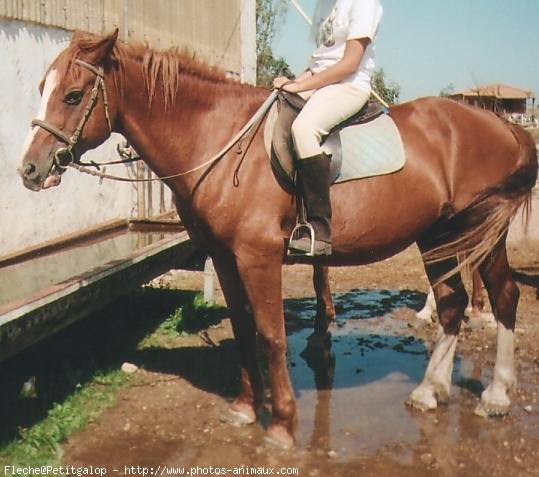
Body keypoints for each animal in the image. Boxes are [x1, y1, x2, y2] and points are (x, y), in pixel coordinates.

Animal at [17, 31, 539, 448]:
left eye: (73, 95)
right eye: (42, 89)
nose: (29, 170)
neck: (220, 138)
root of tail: (504, 126)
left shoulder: (258, 258)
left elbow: (271, 336)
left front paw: (283, 425)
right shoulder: (225, 258)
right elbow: (243, 329)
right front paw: (246, 408)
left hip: (479, 233)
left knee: (503, 296)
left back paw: (495, 395)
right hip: (439, 236)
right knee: (451, 303)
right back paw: (430, 391)